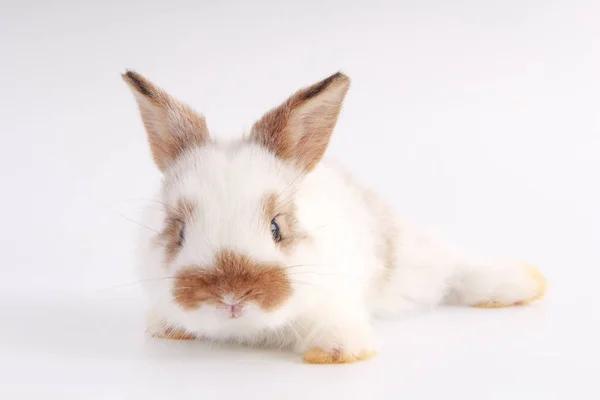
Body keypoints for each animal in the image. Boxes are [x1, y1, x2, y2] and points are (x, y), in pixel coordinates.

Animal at [123, 70, 548, 364]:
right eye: (178, 231)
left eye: (277, 227)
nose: (230, 297)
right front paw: (167, 329)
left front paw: (338, 353)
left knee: (457, 269)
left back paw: (525, 283)